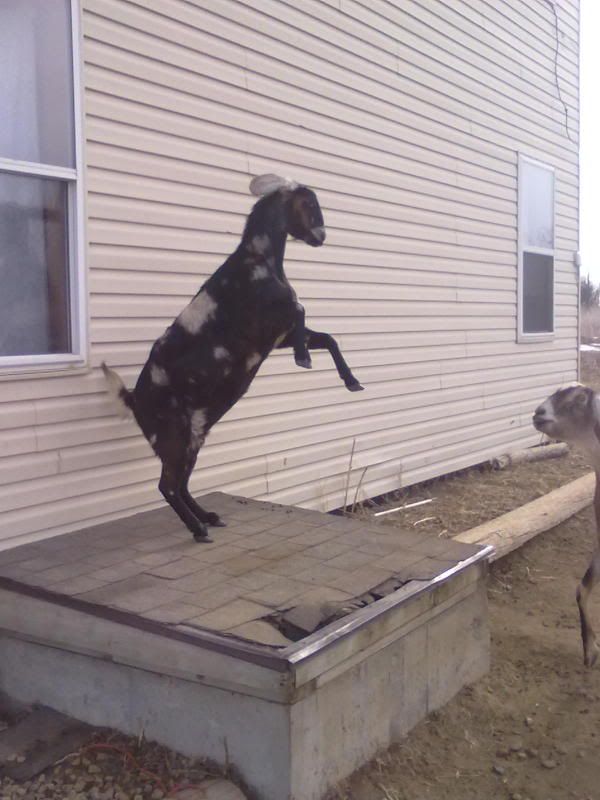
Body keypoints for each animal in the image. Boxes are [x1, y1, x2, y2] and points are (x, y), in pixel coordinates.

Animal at [102, 174, 363, 542]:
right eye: (310, 203)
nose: (321, 237)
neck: (257, 261)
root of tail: (133, 399)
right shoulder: (271, 322)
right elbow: (301, 309)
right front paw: (304, 359)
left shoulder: (276, 336)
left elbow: (326, 337)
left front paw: (351, 381)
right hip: (173, 435)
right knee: (168, 485)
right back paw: (198, 529)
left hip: (194, 435)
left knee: (181, 482)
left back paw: (208, 517)